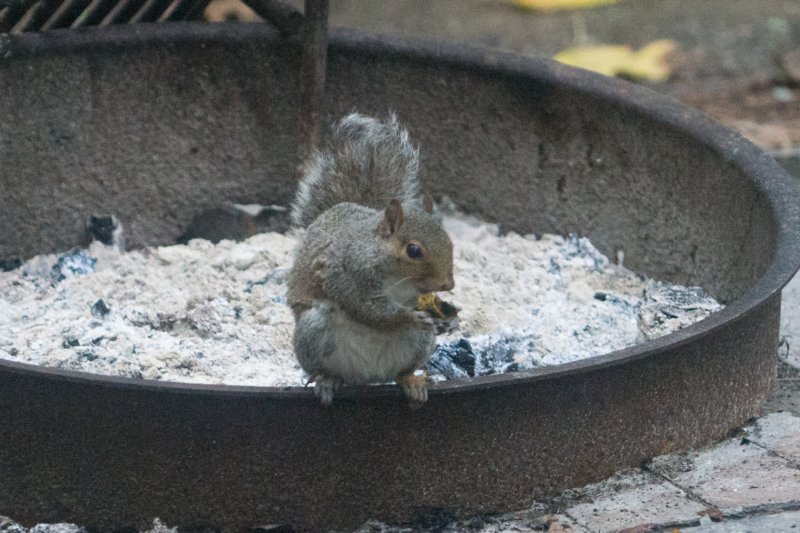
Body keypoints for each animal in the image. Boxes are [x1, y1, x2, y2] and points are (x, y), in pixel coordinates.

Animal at [286, 110, 456, 406]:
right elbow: (367, 308)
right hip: (314, 331)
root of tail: (368, 376)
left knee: (402, 371)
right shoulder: (345, 275)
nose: (448, 284)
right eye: (414, 250)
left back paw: (412, 382)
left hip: (419, 344)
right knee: (324, 368)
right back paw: (327, 380)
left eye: (447, 238)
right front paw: (407, 316)